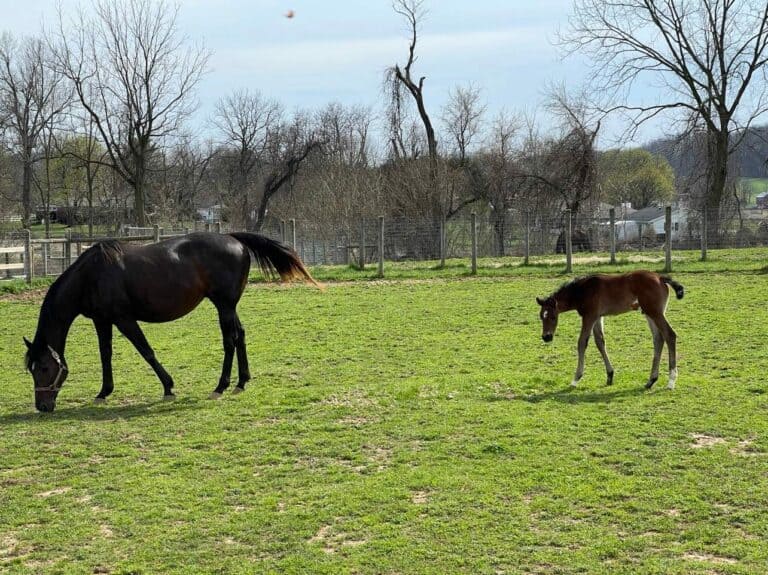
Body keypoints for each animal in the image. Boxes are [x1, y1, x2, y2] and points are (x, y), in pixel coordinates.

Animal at [23, 232, 318, 412]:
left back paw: (220, 387)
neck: (92, 274)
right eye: (32, 369)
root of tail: (234, 239)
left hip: (223, 305)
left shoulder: (124, 319)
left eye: (45, 368)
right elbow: (105, 354)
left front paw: (168, 387)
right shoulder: (102, 320)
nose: (42, 406)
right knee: (241, 335)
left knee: (230, 339)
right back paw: (241, 382)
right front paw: (103, 392)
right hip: (229, 306)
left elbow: (146, 351)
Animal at [536, 272, 688, 390]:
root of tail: (660, 277)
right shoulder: (597, 317)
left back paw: (671, 381)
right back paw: (651, 380)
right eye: (541, 316)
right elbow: (600, 342)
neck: (582, 290)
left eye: (553, 317)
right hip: (649, 313)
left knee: (669, 334)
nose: (546, 337)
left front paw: (576, 379)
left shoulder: (589, 316)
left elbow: (582, 342)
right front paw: (610, 375)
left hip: (655, 312)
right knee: (658, 338)